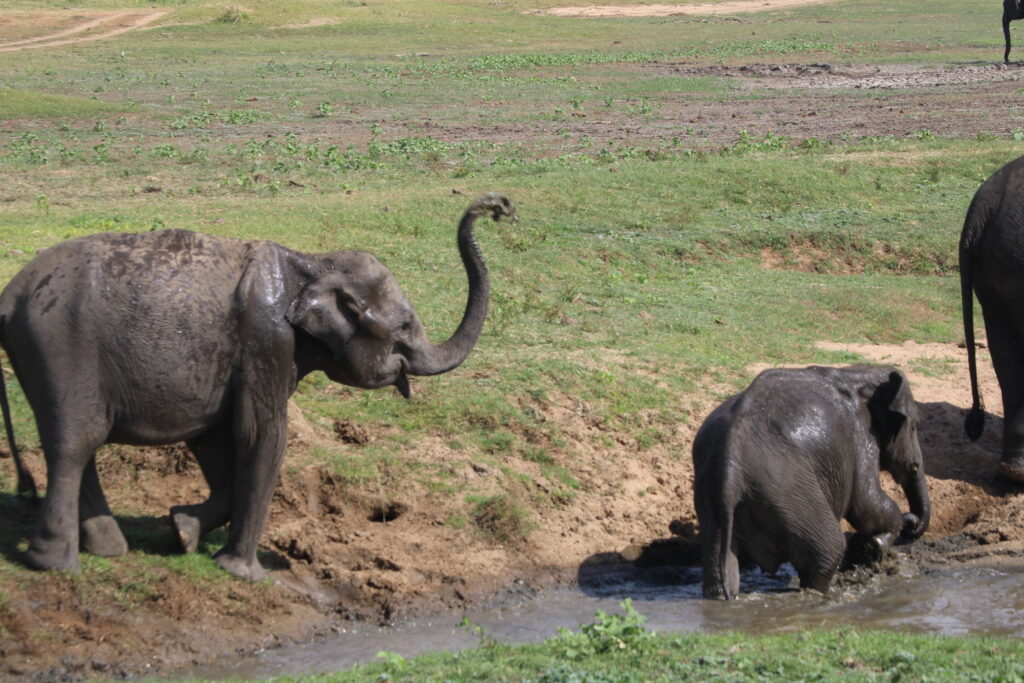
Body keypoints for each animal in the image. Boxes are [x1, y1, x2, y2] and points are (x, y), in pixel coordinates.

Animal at [0, 192, 516, 581]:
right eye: (405, 326)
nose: (498, 206)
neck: (312, 263)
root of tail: (9, 296)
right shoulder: (266, 340)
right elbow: (262, 435)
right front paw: (242, 573)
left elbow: (216, 439)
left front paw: (181, 531)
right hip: (59, 345)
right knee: (75, 441)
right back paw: (56, 565)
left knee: (80, 443)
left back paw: (109, 550)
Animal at [692, 365, 930, 600]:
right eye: (915, 426)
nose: (913, 522)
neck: (858, 374)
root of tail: (730, 470)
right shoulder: (861, 434)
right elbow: (866, 504)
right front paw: (886, 535)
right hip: (787, 491)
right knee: (829, 551)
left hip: (713, 496)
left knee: (718, 565)